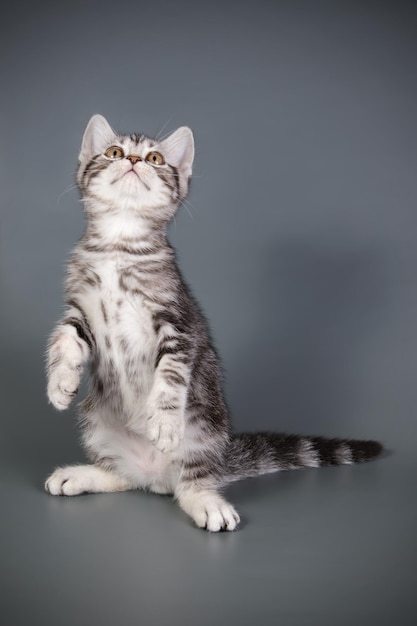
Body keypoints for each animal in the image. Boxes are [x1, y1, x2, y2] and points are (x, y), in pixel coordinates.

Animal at [44, 114, 382, 528]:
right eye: (114, 152)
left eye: (155, 158)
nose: (134, 161)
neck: (119, 247)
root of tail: (157, 476)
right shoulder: (81, 311)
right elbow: (64, 338)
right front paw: (60, 384)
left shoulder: (178, 324)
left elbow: (171, 375)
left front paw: (163, 422)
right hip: (96, 422)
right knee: (124, 477)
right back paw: (83, 475)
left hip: (203, 430)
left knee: (192, 481)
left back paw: (207, 502)